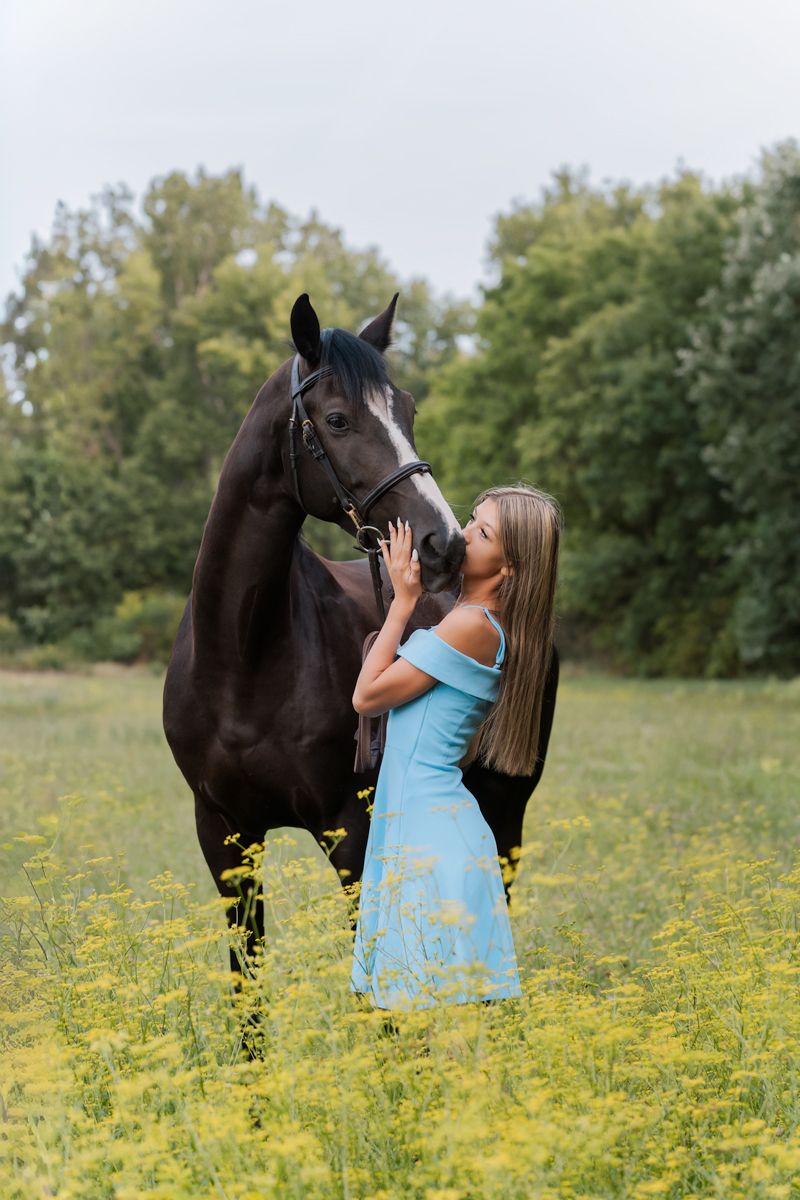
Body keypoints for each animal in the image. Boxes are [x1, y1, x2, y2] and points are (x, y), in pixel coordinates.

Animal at [162, 293, 559, 971]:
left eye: (407, 409)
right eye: (338, 420)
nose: (444, 543)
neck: (244, 655)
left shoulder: (349, 832)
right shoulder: (224, 837)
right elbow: (249, 982)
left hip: (508, 805)